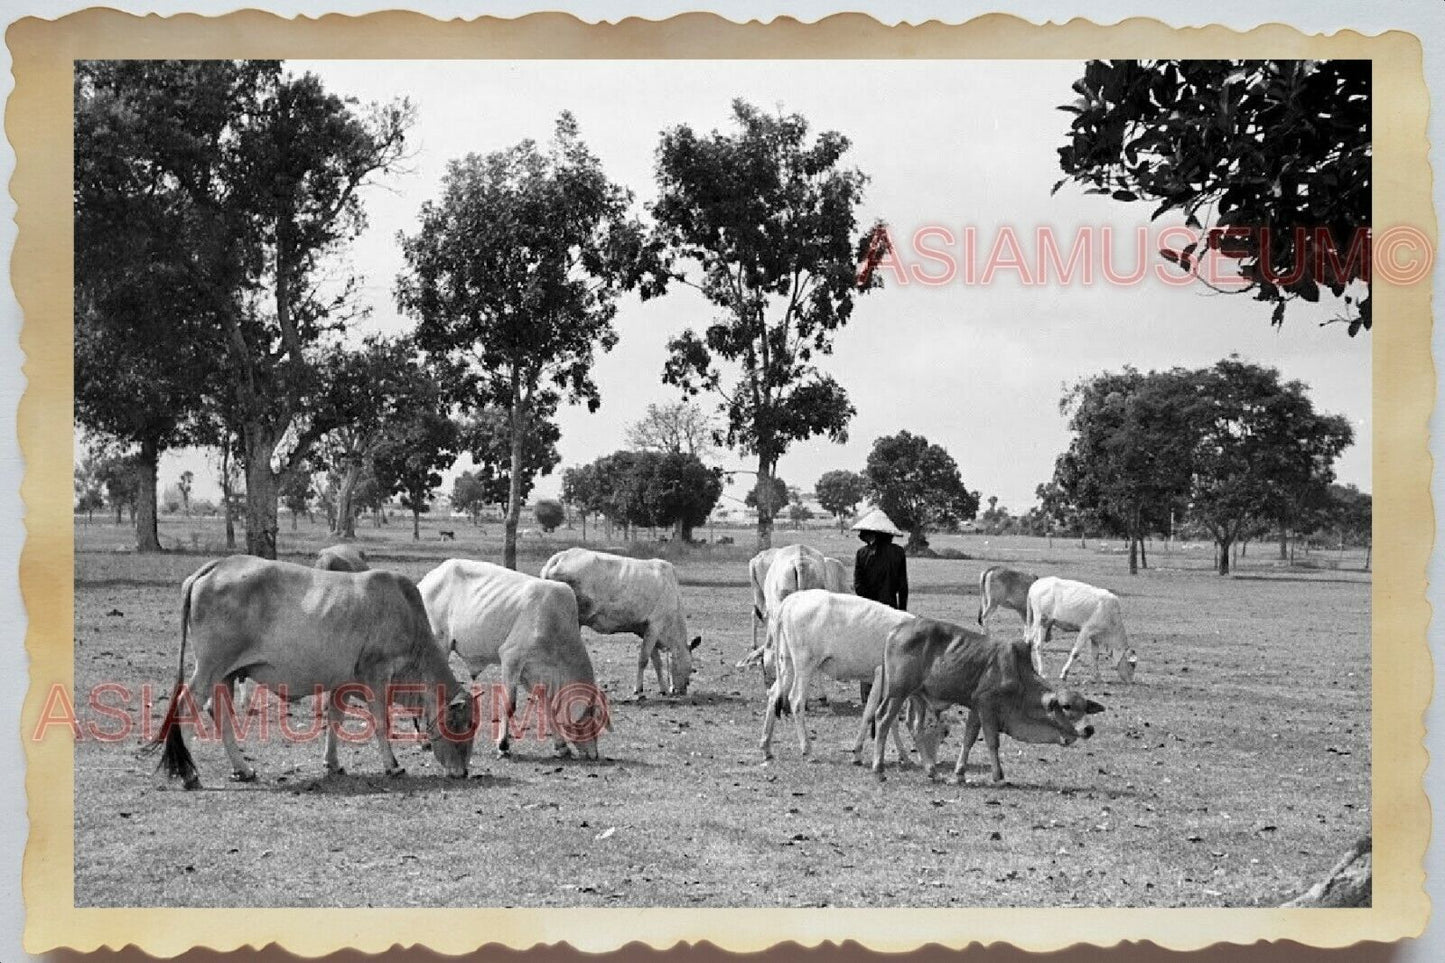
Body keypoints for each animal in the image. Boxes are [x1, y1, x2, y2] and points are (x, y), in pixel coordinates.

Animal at [155, 555, 476, 786]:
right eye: (464, 725)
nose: (462, 772)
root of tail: (217, 565)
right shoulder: (377, 675)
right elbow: (381, 721)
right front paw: (393, 766)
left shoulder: (343, 683)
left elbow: (335, 719)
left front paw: (333, 763)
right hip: (211, 667)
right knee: (186, 706)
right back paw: (189, 775)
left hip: (226, 674)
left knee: (219, 713)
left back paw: (243, 769)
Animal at [416, 555, 606, 757]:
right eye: (593, 720)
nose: (594, 754)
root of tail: (426, 581)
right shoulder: (511, 658)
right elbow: (509, 704)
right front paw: (503, 745)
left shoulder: (533, 673)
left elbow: (546, 704)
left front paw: (562, 746)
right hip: (438, 644)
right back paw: (424, 740)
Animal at [540, 546, 702, 696]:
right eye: (692, 669)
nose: (683, 690)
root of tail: (562, 556)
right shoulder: (655, 625)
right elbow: (644, 659)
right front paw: (638, 689)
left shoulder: (646, 630)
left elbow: (656, 661)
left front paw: (663, 689)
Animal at [762, 584, 919, 757]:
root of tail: (792, 599)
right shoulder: (881, 678)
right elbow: (873, 713)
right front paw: (858, 751)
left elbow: (889, 717)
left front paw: (902, 754)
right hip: (805, 665)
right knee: (796, 700)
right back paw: (806, 748)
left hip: (788, 662)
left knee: (773, 694)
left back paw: (766, 744)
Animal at [867, 615, 1103, 780]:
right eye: (1067, 706)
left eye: (1085, 707)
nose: (1089, 729)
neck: (1018, 674)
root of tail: (896, 629)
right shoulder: (987, 704)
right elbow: (992, 741)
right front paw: (998, 775)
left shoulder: (976, 707)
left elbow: (969, 738)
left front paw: (960, 772)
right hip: (898, 692)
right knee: (883, 720)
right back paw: (879, 769)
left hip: (916, 696)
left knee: (914, 725)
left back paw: (931, 770)